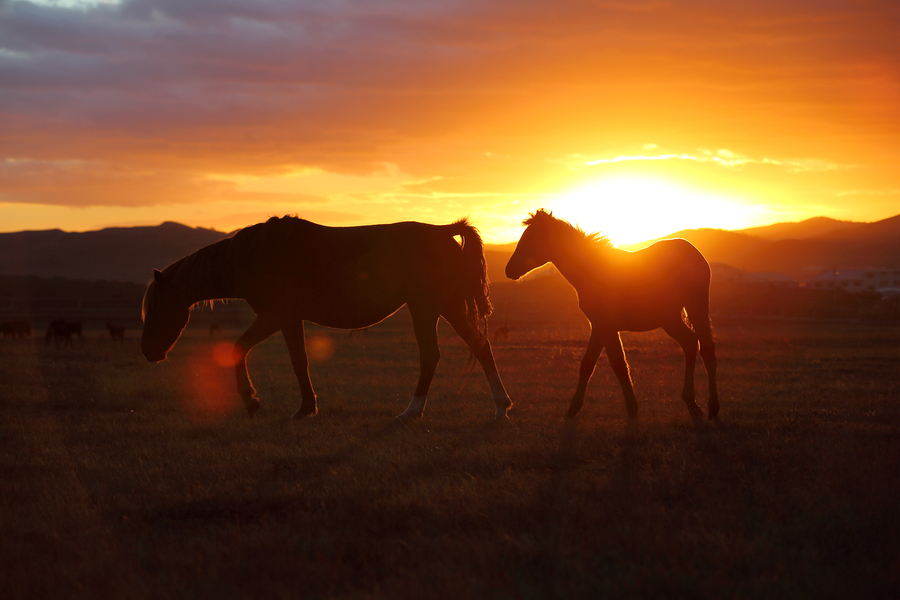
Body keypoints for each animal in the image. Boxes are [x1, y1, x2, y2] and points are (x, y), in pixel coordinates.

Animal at [145, 216, 516, 422]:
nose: (149, 353)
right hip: (446, 306)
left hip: (425, 307)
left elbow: (241, 348)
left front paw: (251, 401)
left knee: (432, 356)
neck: (256, 254)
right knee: (480, 347)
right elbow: (299, 361)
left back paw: (411, 412)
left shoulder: (275, 315)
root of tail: (443, 232)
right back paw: (501, 407)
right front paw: (306, 408)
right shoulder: (289, 319)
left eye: (156, 307)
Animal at [506, 211, 716, 422]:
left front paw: (632, 410)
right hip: (670, 319)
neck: (592, 271)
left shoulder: (607, 326)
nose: (509, 270)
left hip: (694, 308)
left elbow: (619, 365)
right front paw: (572, 410)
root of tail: (693, 251)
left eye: (532, 239)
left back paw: (711, 407)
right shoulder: (598, 326)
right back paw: (693, 404)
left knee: (706, 348)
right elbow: (587, 364)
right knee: (691, 343)